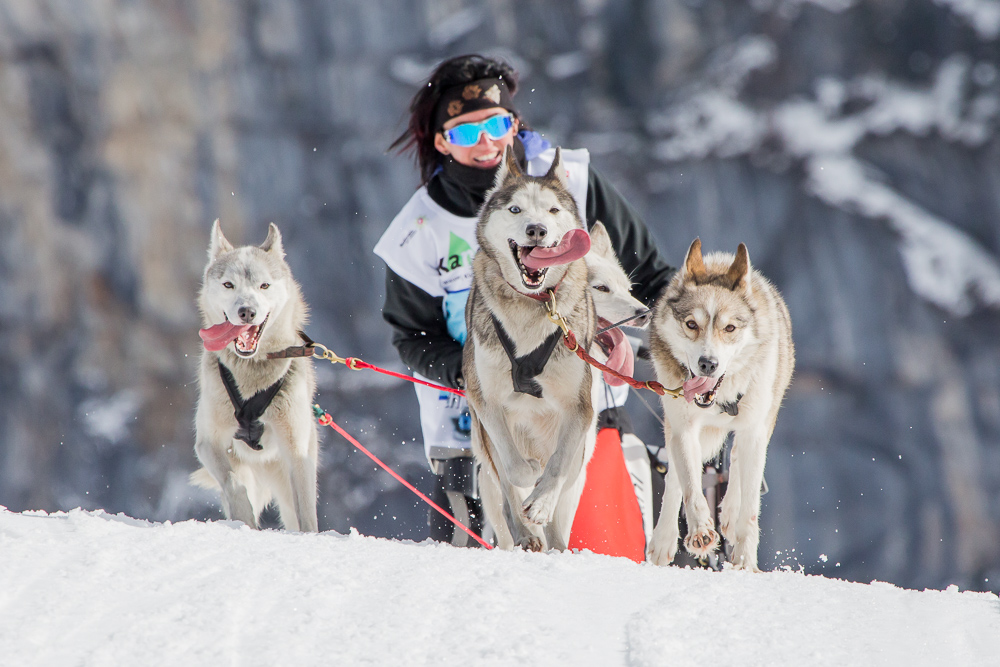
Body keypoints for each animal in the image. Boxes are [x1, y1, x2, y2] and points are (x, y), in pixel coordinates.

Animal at [191, 222, 320, 536]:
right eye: (228, 285)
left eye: (264, 285)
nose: (247, 311)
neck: (253, 373)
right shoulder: (208, 442)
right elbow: (234, 483)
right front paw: (244, 520)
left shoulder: (297, 451)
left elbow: (306, 512)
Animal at [464, 147, 596, 552]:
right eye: (515, 209)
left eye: (552, 210)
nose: (536, 230)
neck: (531, 306)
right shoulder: (485, 401)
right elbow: (513, 467)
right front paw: (528, 481)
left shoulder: (577, 407)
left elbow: (557, 466)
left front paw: (540, 502)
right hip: (483, 450)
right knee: (505, 490)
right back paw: (525, 533)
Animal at [648, 237, 796, 572]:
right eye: (691, 324)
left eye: (730, 328)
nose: (708, 363)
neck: (719, 402)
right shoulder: (684, 429)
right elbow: (690, 485)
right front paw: (701, 531)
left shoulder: (754, 430)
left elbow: (750, 507)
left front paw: (745, 561)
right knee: (675, 478)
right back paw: (664, 540)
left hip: (762, 418)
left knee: (739, 460)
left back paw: (728, 513)